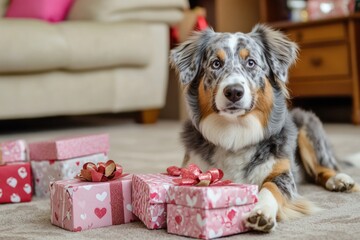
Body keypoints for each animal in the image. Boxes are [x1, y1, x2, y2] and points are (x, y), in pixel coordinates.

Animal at [169, 23, 358, 232]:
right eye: (216, 63)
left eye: (251, 63)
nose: (233, 92)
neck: (235, 132)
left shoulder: (283, 173)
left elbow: (270, 188)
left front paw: (261, 211)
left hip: (307, 125)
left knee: (323, 167)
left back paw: (339, 180)